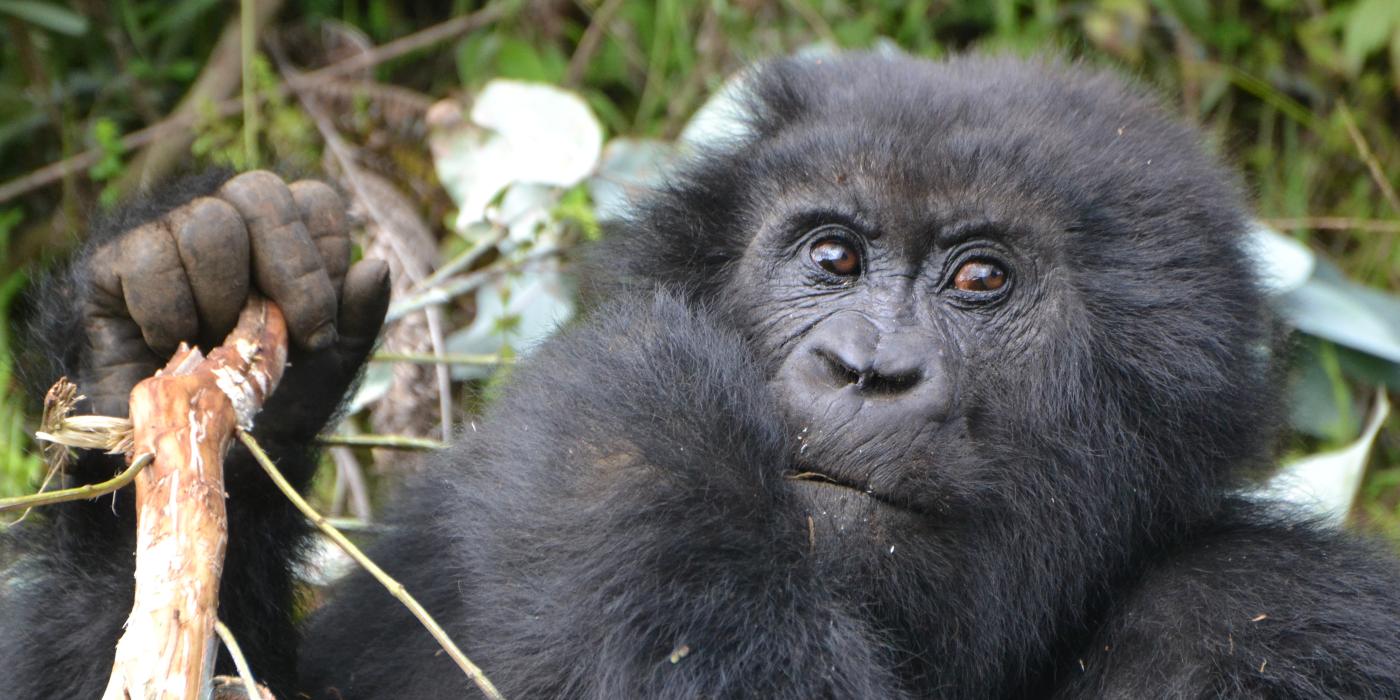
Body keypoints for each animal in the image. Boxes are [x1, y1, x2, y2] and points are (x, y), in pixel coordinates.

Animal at [2, 54, 1400, 700]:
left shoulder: (1272, 619)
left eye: (979, 281)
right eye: (830, 257)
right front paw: (175, 323)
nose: (863, 367)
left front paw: (636, 431)